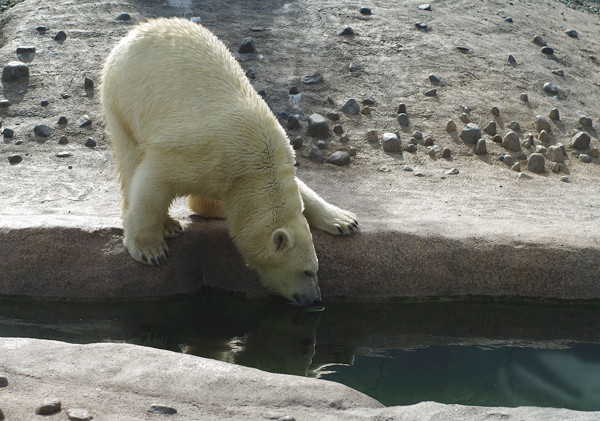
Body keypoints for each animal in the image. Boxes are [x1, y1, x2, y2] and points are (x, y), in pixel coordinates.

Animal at [101, 17, 358, 306]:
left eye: (317, 269)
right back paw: (169, 225)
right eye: (306, 271)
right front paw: (150, 250)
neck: (253, 169)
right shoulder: (192, 154)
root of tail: (141, 28)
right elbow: (152, 183)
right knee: (130, 159)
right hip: (123, 97)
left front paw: (343, 220)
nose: (315, 301)